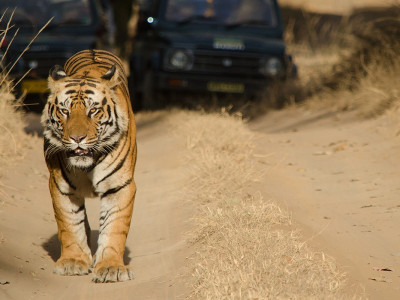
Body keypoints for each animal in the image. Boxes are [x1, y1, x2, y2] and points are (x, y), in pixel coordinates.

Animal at [40, 48, 138, 282]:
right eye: (64, 111)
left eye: (93, 111)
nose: (77, 138)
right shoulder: (61, 187)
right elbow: (69, 224)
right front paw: (73, 262)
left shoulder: (120, 186)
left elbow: (114, 227)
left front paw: (111, 268)